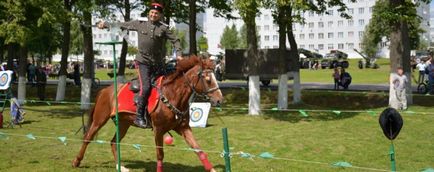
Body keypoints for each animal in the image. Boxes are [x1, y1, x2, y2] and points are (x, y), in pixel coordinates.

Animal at [72, 55, 222, 171]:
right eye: (208, 79)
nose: (220, 100)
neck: (173, 95)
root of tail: (105, 91)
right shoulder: (158, 130)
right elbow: (160, 155)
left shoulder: (183, 128)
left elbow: (199, 150)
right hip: (99, 120)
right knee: (88, 137)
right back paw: (76, 161)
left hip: (123, 124)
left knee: (114, 142)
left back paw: (120, 166)